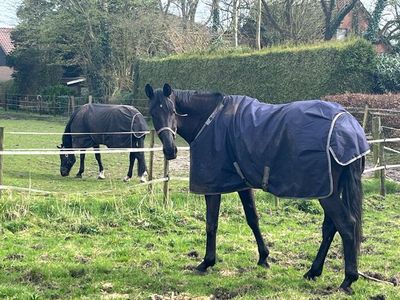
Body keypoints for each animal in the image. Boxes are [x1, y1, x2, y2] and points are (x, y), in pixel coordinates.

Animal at [145, 83, 370, 294]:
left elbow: (211, 224)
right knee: (330, 228)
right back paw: (313, 271)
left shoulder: (213, 185)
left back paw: (348, 279)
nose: (170, 150)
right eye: (153, 113)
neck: (209, 120)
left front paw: (207, 262)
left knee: (346, 225)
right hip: (329, 190)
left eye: (173, 111)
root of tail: (348, 124)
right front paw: (263, 258)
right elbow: (252, 218)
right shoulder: (242, 184)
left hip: (327, 194)